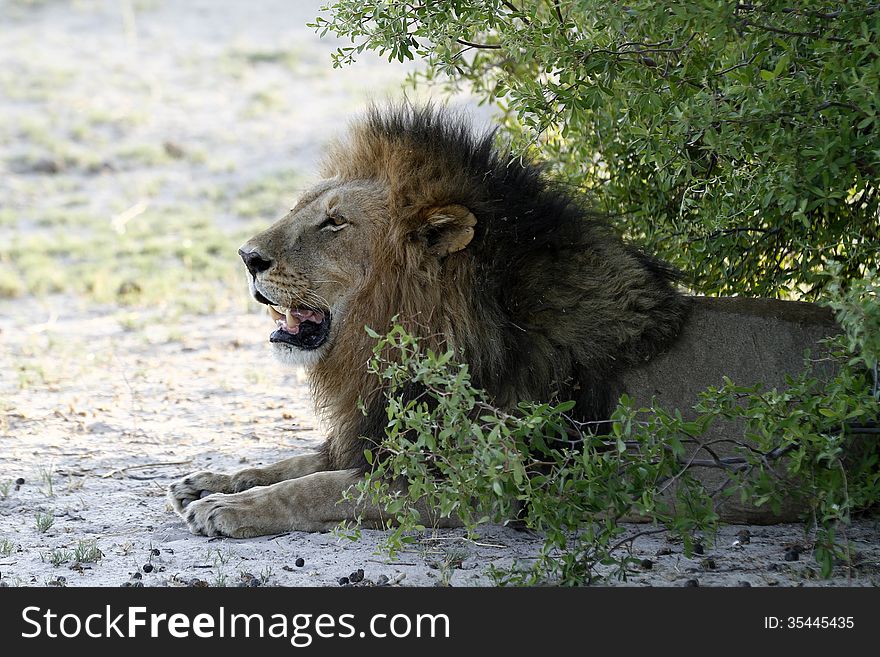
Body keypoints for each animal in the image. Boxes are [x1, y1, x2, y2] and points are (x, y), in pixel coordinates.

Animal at [167, 101, 688, 532]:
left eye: (335, 222)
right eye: (301, 207)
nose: (246, 256)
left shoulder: (479, 485)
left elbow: (321, 487)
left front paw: (229, 507)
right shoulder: (375, 435)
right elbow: (298, 463)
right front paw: (213, 482)